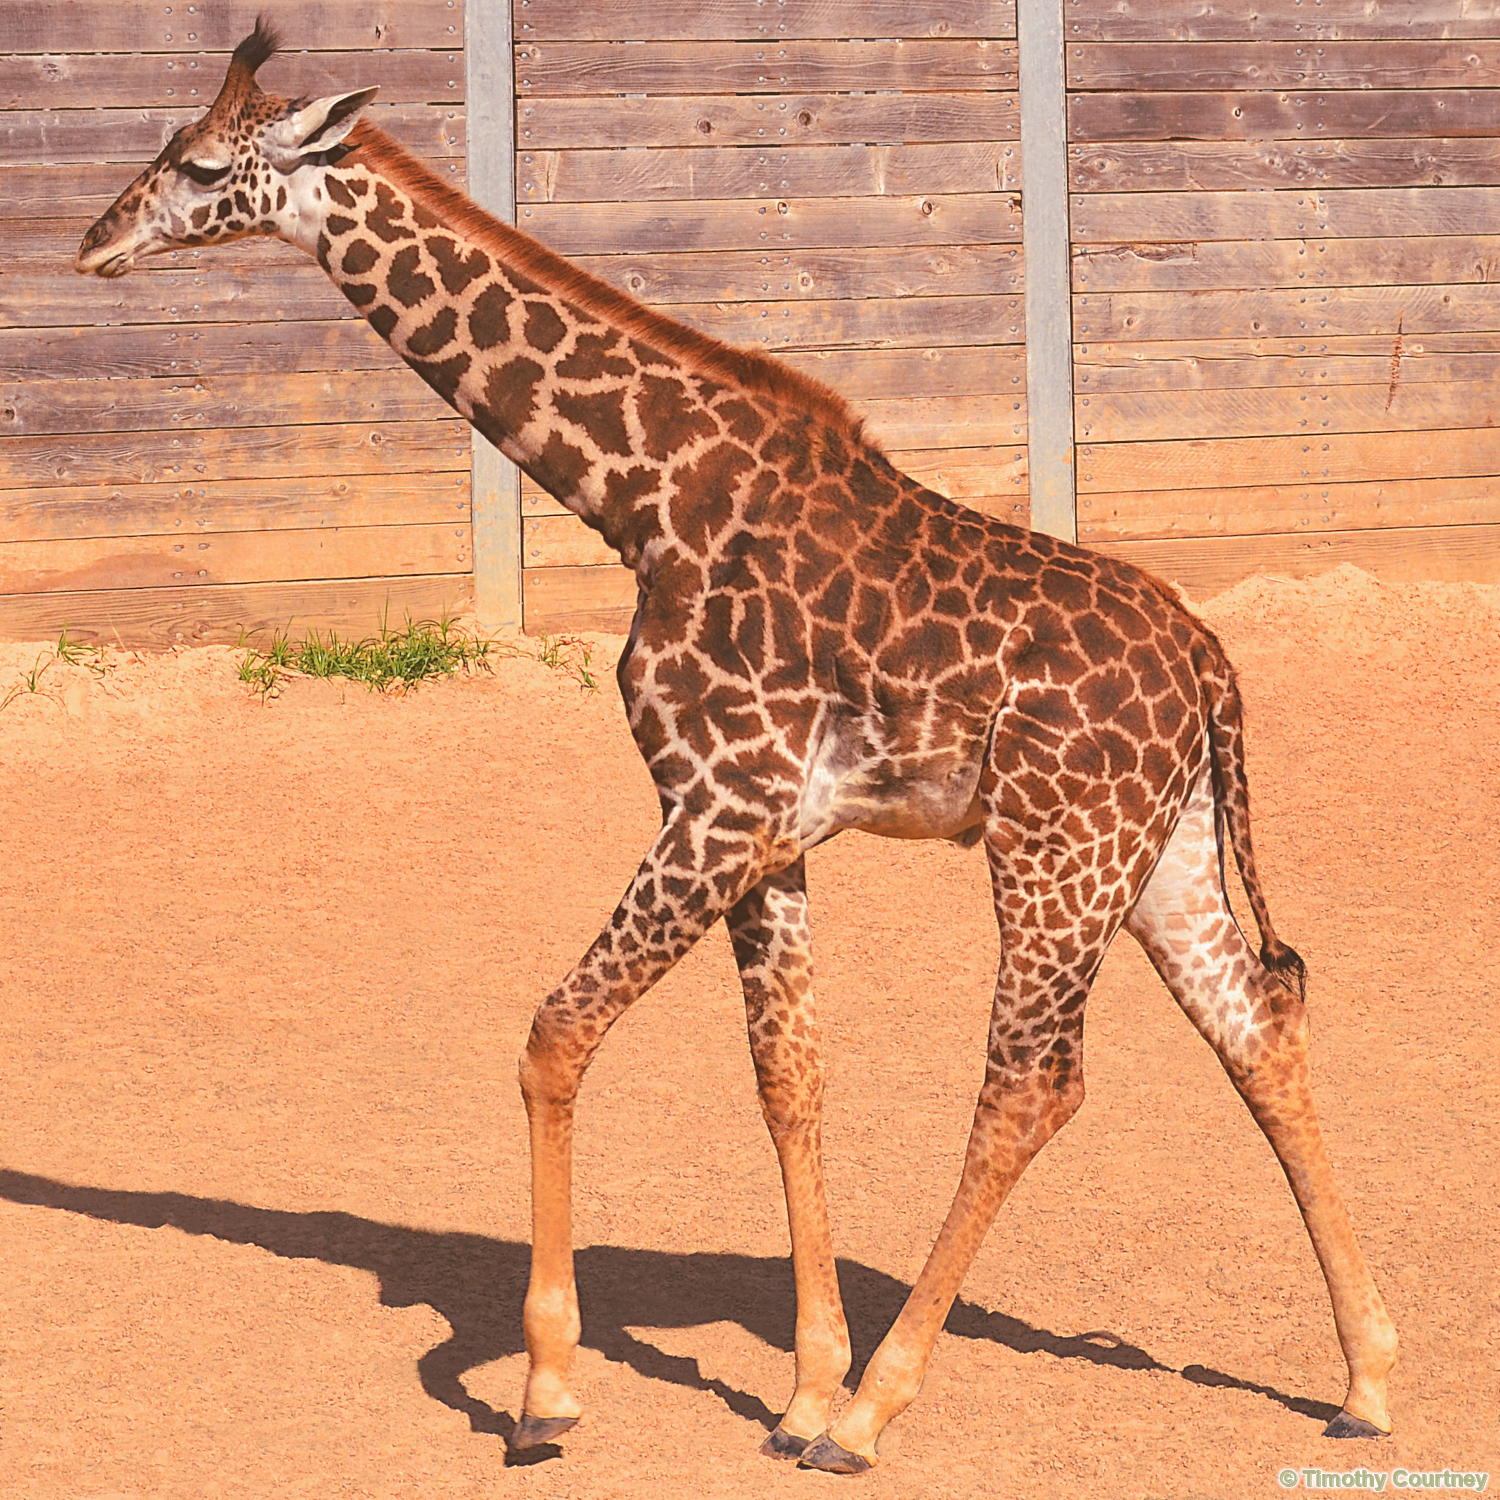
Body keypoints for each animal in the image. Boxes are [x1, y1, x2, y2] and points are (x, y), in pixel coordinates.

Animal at [77, 24, 1398, 1472]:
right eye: (165, 147)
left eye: (205, 165)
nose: (94, 240)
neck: (642, 499)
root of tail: (1211, 667)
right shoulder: (768, 828)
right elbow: (790, 1078)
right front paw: (801, 1384)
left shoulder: (717, 801)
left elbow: (554, 1033)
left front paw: (552, 1389)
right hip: (1159, 853)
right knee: (1255, 1023)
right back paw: (1366, 1380)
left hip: (1057, 848)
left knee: (1032, 1083)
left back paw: (878, 1412)